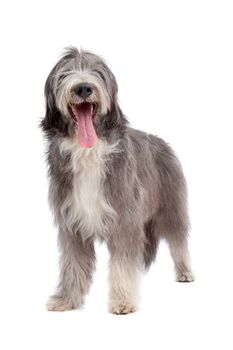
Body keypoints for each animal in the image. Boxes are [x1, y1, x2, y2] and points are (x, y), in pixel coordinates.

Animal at [41, 47, 195, 314]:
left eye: (97, 72)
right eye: (65, 73)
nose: (83, 87)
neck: (88, 152)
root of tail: (163, 142)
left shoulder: (125, 219)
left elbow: (123, 264)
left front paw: (123, 301)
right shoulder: (71, 224)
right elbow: (73, 264)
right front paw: (67, 300)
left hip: (171, 207)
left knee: (178, 240)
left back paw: (185, 272)